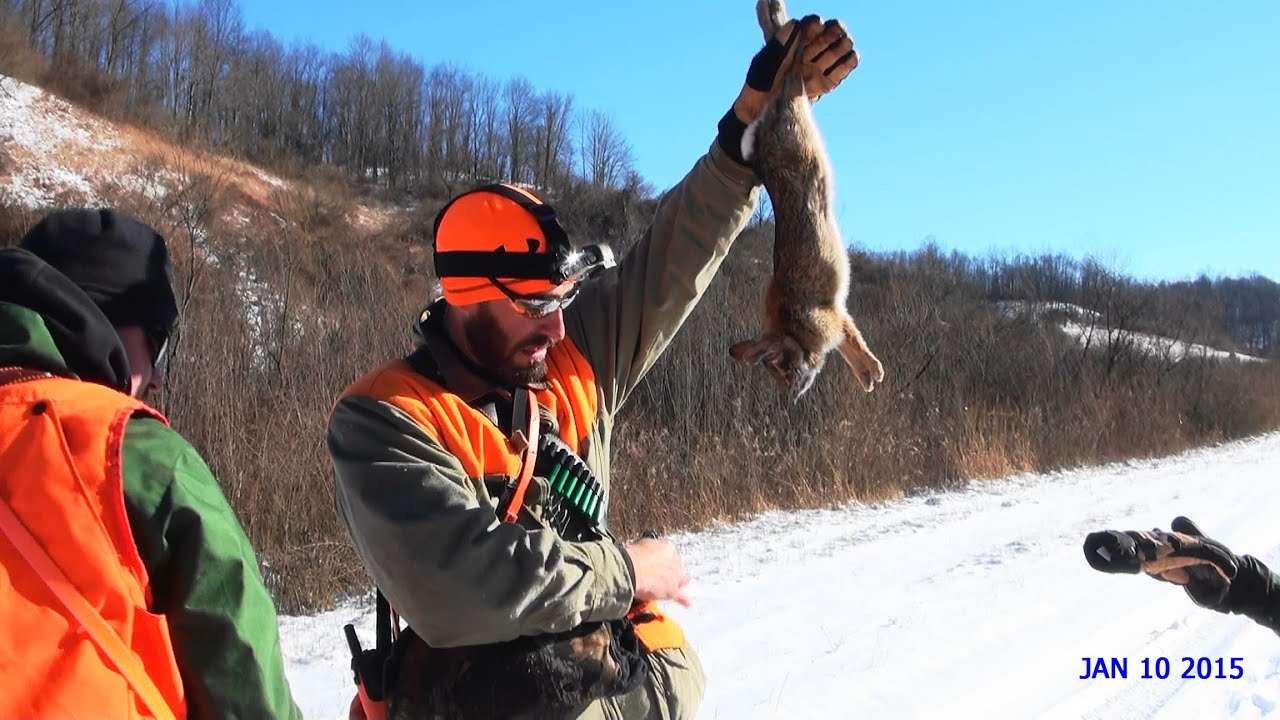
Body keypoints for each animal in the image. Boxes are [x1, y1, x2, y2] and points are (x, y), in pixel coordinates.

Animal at [729, 0, 885, 399]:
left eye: (783, 367)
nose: (790, 396)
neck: (792, 329)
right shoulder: (837, 316)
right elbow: (851, 341)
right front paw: (871, 377)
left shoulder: (830, 318)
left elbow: (851, 341)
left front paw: (872, 373)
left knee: (791, 62)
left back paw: (791, 30)